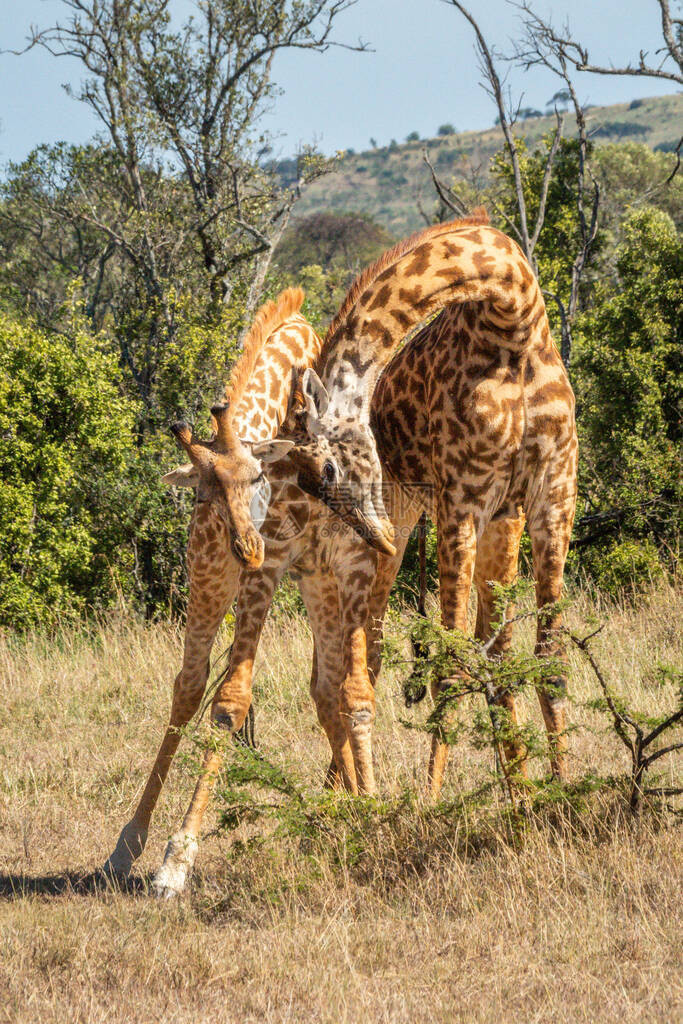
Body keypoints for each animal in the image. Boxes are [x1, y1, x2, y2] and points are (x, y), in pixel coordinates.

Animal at [105, 211, 577, 892]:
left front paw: (556, 799)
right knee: (198, 684)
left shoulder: (547, 496)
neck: (511, 319)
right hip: (235, 574)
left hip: (402, 555)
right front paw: (428, 812)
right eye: (308, 470)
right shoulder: (463, 499)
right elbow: (443, 663)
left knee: (363, 675)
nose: (371, 531)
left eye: (325, 465)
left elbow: (540, 659)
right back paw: (136, 845)